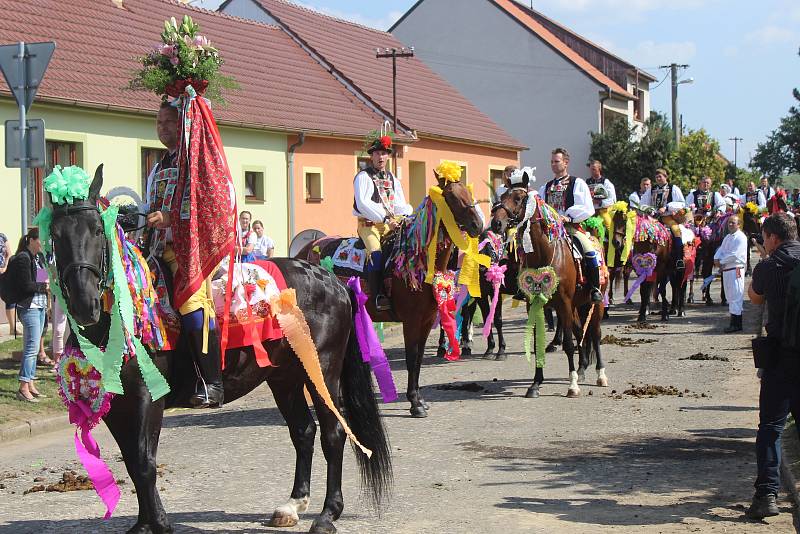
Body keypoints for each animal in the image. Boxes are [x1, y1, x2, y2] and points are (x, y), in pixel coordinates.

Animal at [48, 165, 392, 532]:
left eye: (98, 230)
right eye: (55, 233)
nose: (84, 303)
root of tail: (332, 280)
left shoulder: (147, 400)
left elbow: (144, 462)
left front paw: (159, 524)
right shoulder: (116, 404)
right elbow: (131, 462)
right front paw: (143, 524)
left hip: (322, 373)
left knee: (332, 433)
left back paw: (328, 514)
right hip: (283, 377)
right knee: (303, 430)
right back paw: (292, 506)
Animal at [296, 176, 478, 418]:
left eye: (467, 191)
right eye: (451, 196)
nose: (478, 224)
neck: (417, 260)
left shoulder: (427, 320)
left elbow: (418, 359)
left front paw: (420, 399)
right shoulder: (411, 321)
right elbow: (411, 357)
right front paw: (415, 403)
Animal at [494, 188, 608, 398]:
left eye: (518, 198)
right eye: (503, 196)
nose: (497, 223)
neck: (545, 255)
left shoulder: (563, 304)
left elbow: (568, 345)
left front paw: (573, 385)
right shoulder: (535, 305)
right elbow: (537, 343)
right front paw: (535, 384)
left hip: (595, 304)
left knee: (595, 334)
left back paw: (600, 375)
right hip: (577, 306)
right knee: (581, 332)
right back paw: (582, 369)